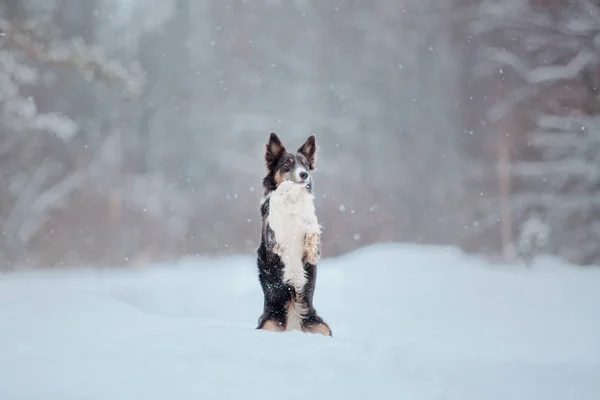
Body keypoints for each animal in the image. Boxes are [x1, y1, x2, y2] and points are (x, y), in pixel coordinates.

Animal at [254, 133, 332, 336]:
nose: (304, 174)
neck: (293, 199)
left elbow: (313, 228)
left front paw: (311, 250)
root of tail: (294, 327)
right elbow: (276, 230)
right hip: (269, 324)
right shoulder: (270, 236)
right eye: (287, 164)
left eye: (305, 165)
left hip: (321, 326)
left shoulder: (311, 224)